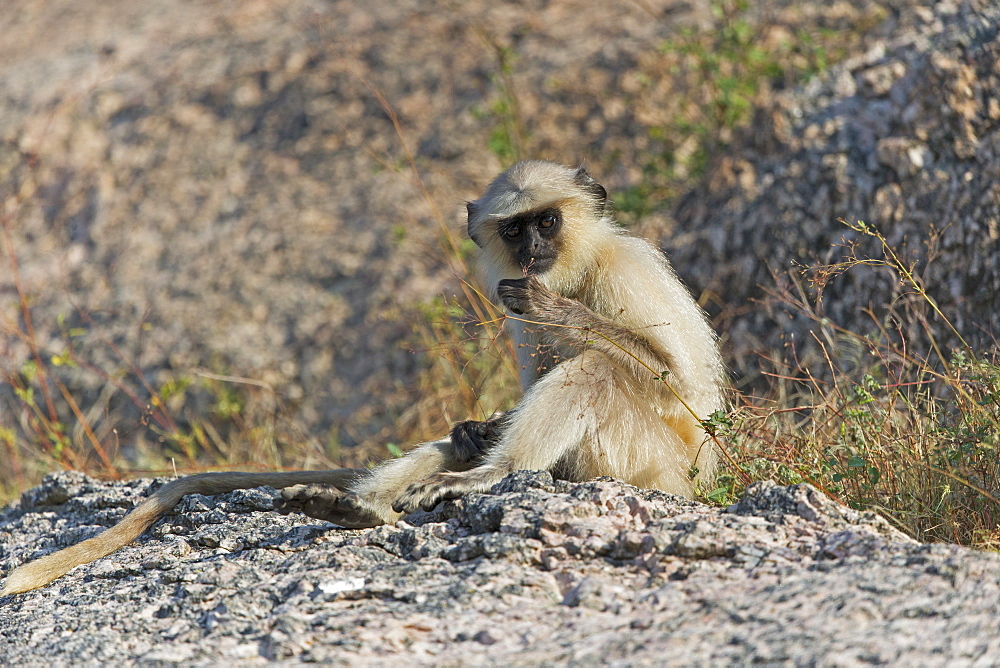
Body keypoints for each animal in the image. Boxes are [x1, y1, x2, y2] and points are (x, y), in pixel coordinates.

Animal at [0, 160, 720, 596]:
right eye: (515, 230)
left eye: (549, 221)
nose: (536, 249)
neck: (573, 266)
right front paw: (473, 425)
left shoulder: (624, 267)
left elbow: (683, 388)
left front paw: (555, 311)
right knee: (458, 442)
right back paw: (363, 507)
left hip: (648, 468)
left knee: (598, 367)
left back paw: (480, 476)